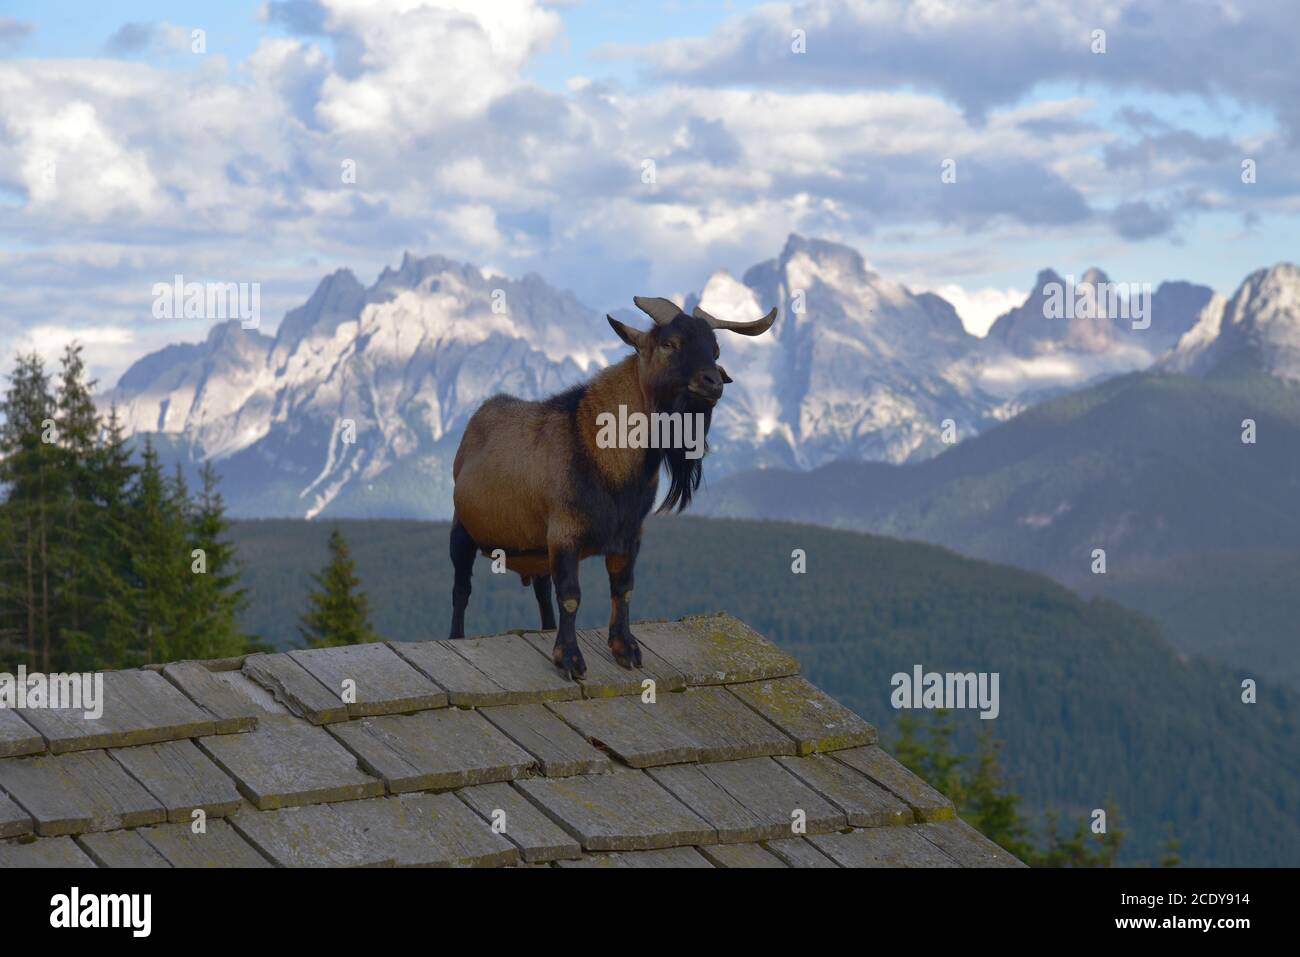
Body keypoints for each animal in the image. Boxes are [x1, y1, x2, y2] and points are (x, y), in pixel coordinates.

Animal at [448, 295, 777, 677]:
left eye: (715, 350)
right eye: (669, 344)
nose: (712, 382)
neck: (604, 455)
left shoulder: (629, 534)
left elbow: (623, 588)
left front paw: (626, 649)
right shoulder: (564, 532)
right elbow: (570, 594)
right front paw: (570, 659)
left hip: (534, 546)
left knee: (541, 590)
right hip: (462, 530)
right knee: (461, 588)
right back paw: (456, 638)